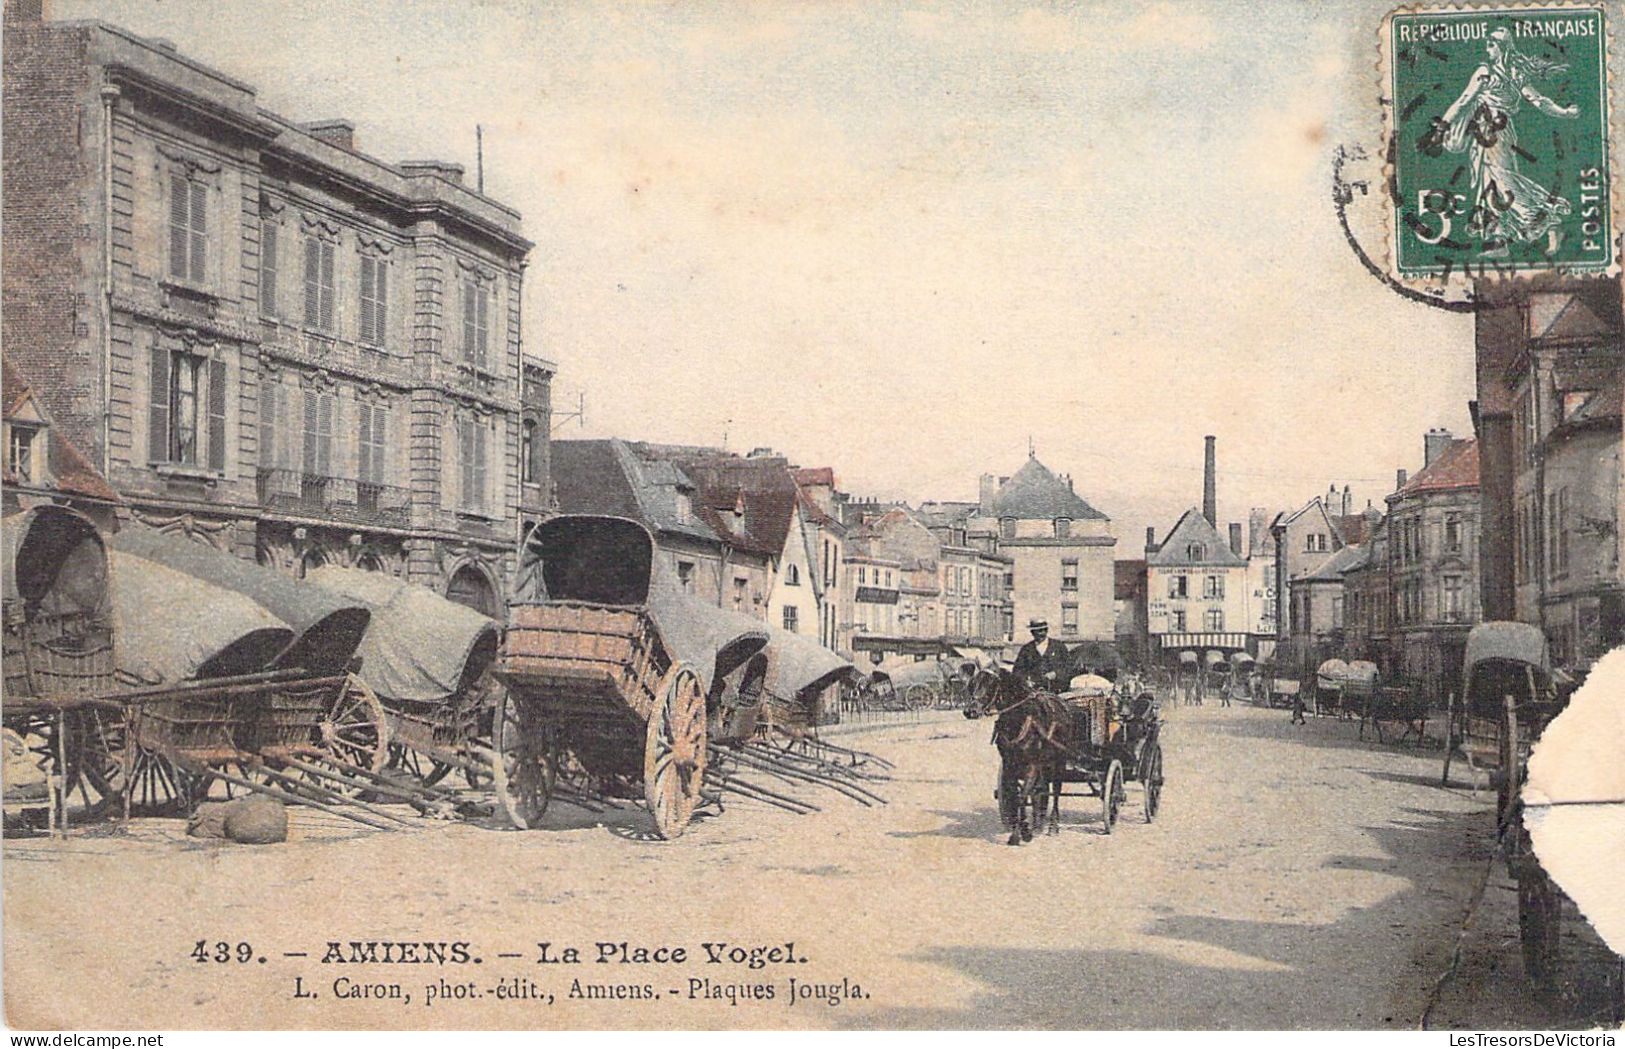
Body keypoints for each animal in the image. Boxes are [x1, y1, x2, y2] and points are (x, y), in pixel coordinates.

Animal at [962, 675, 1079, 844]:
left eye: (990, 684)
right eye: (972, 683)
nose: (970, 711)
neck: (1019, 720)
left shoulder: (1031, 765)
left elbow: (1022, 796)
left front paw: (1019, 834)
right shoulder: (1009, 765)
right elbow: (1016, 796)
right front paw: (1023, 828)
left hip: (1058, 762)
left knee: (1056, 792)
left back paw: (1053, 826)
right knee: (1040, 790)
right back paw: (1037, 824)